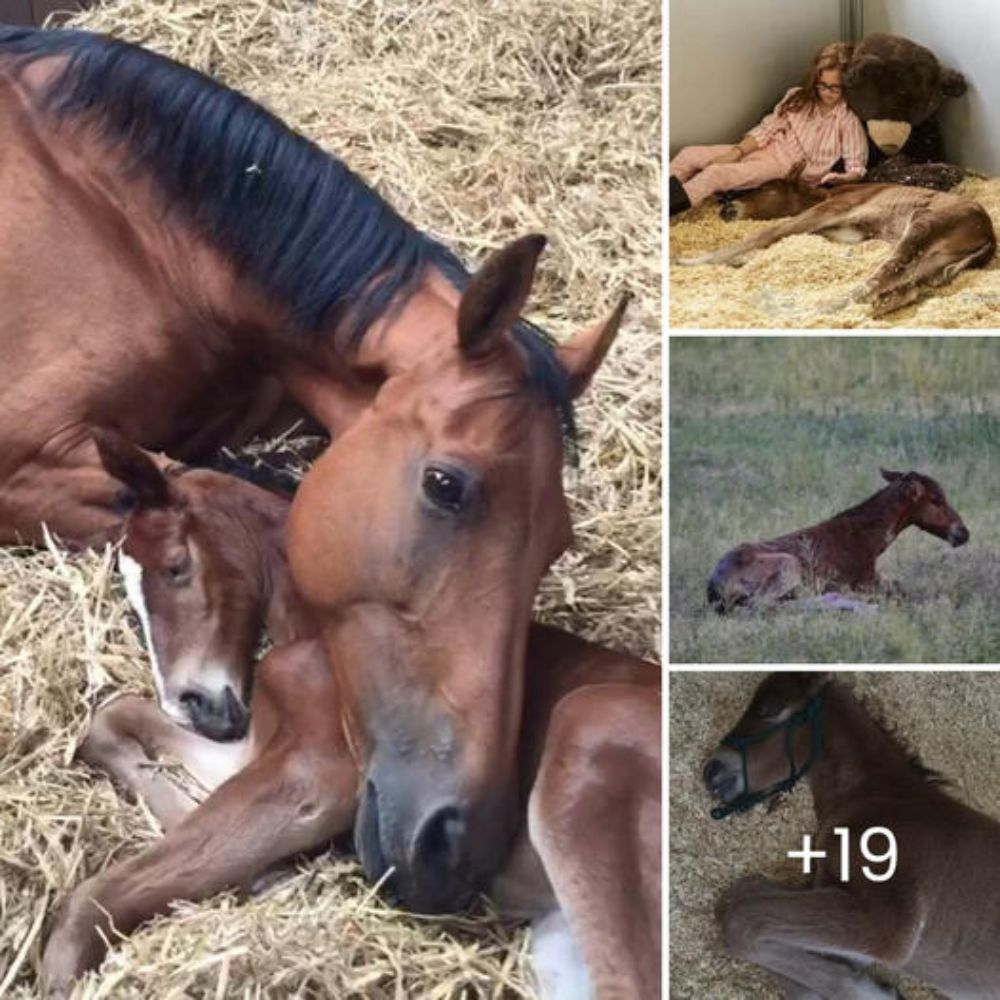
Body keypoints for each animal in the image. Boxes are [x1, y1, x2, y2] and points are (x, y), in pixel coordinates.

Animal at [704, 464, 968, 612]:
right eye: (936, 499)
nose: (963, 533)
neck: (874, 543)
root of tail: (713, 589)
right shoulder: (864, 579)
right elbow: (901, 592)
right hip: (788, 564)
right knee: (759, 606)